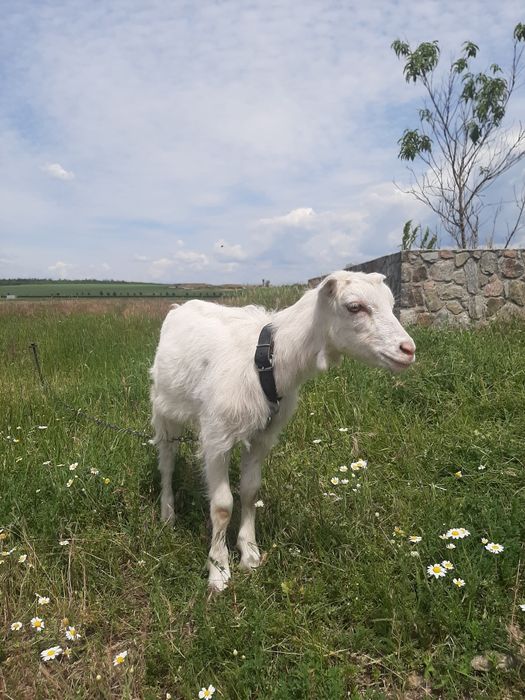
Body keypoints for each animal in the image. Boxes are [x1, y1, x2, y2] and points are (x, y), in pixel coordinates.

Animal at [150, 270, 416, 591]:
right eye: (354, 307)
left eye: (391, 304)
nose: (408, 350)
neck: (268, 359)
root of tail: (179, 307)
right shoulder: (217, 435)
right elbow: (223, 505)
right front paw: (218, 571)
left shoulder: (263, 435)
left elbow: (250, 491)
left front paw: (250, 554)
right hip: (164, 408)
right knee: (167, 461)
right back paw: (167, 514)